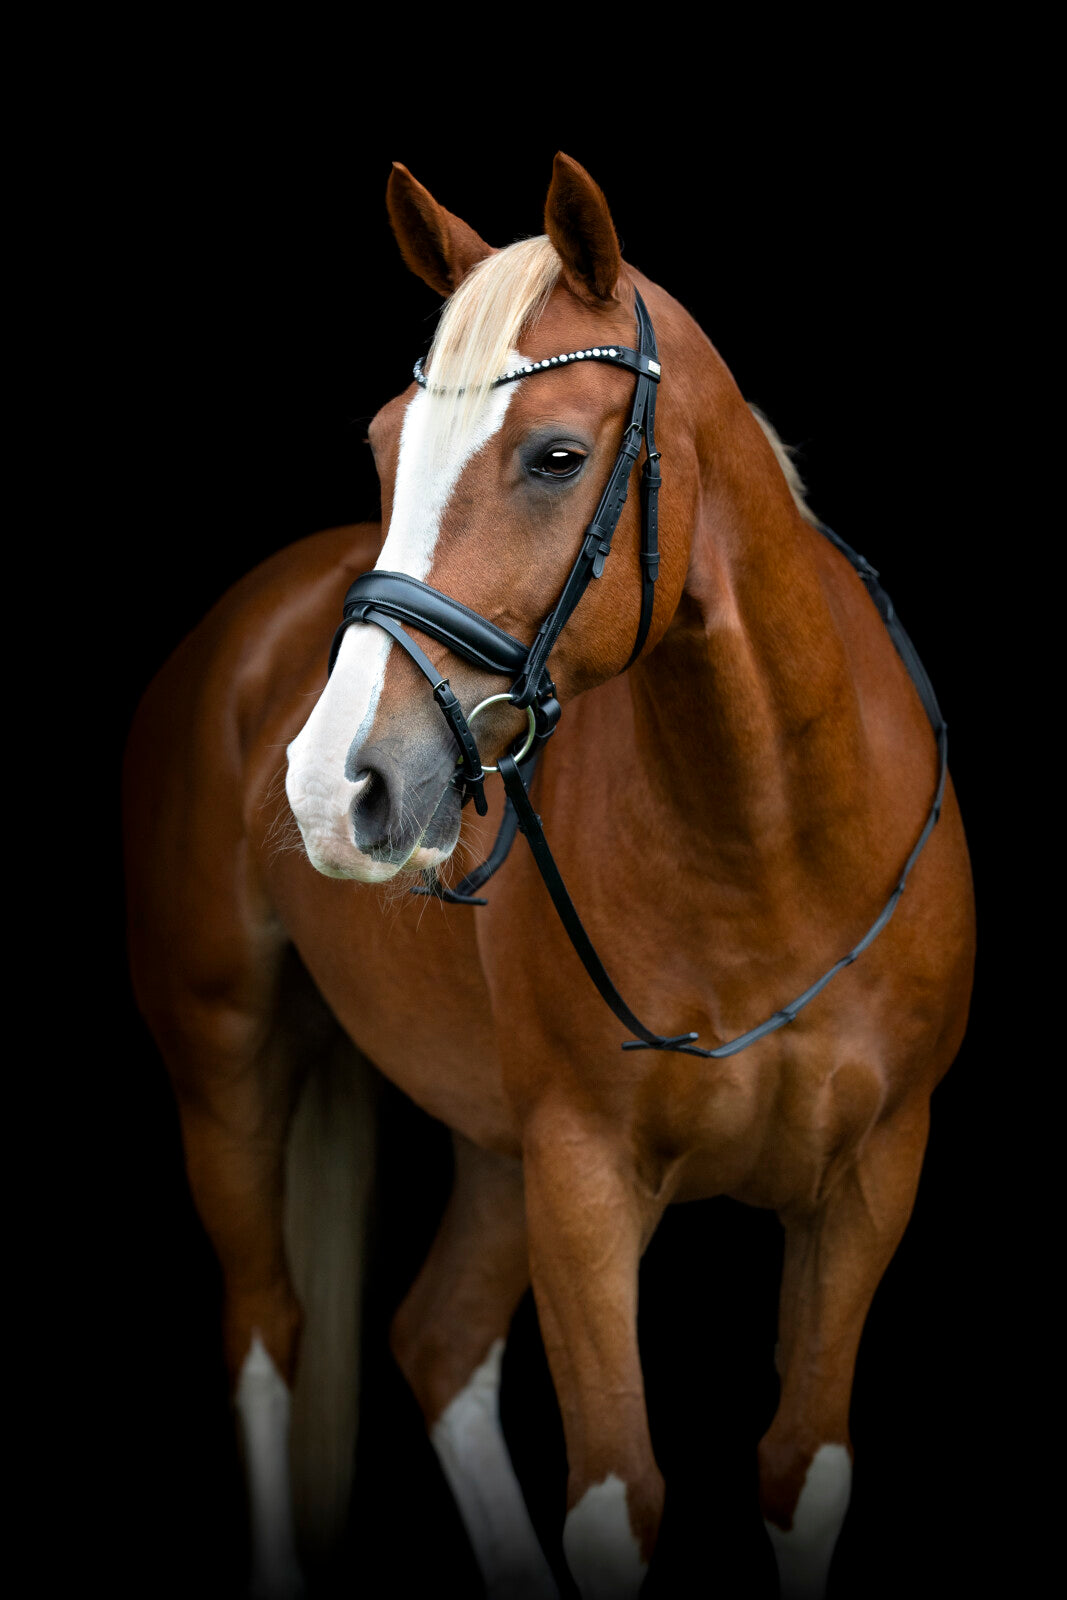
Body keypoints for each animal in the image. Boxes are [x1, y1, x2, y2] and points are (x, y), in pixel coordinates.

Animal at [122, 152, 975, 1598]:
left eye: (556, 456)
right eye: (382, 444)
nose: (330, 785)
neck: (770, 854)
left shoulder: (869, 1176)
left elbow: (799, 1475)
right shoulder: (582, 1174)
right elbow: (612, 1503)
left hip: (491, 1146)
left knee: (434, 1341)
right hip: (230, 1068)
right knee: (268, 1341)